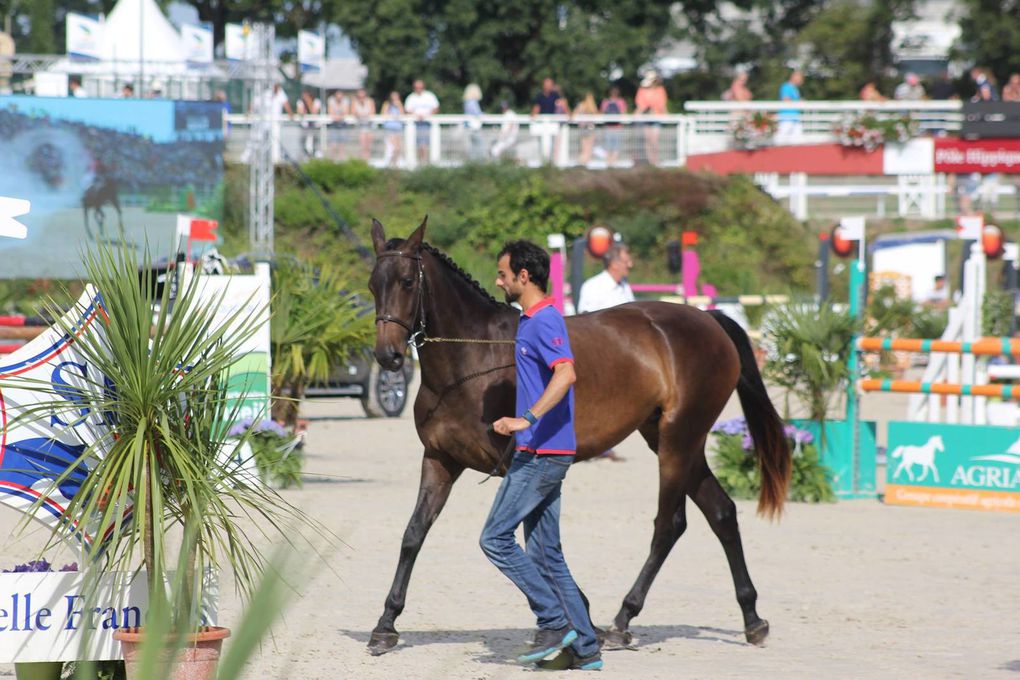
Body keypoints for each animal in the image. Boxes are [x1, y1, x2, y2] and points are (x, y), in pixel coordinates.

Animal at [365, 217, 787, 652]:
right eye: (372, 285)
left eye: (407, 282)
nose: (388, 356)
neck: (471, 360)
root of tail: (708, 320)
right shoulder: (440, 460)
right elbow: (414, 532)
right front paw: (386, 624)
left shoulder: (518, 468)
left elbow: (531, 543)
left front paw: (579, 617)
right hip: (673, 440)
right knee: (721, 512)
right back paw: (752, 618)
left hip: (678, 439)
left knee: (669, 525)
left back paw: (623, 619)